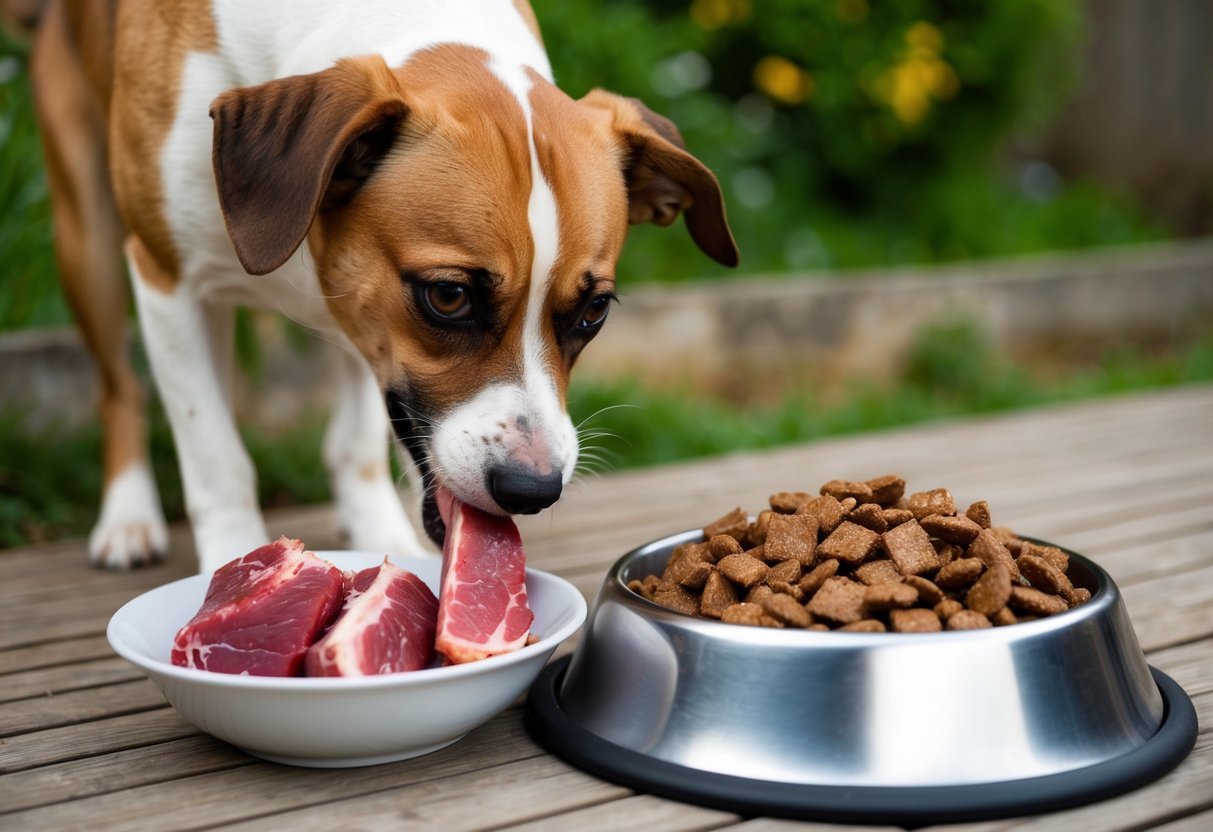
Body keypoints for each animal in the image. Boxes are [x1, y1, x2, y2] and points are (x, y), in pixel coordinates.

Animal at [28, 0, 732, 572]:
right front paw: (232, 563)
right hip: (86, 239)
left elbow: (357, 442)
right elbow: (214, 454)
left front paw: (377, 536)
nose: (532, 491)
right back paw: (128, 515)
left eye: (593, 310)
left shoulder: (361, 313)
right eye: (448, 296)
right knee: (120, 386)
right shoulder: (167, 281)